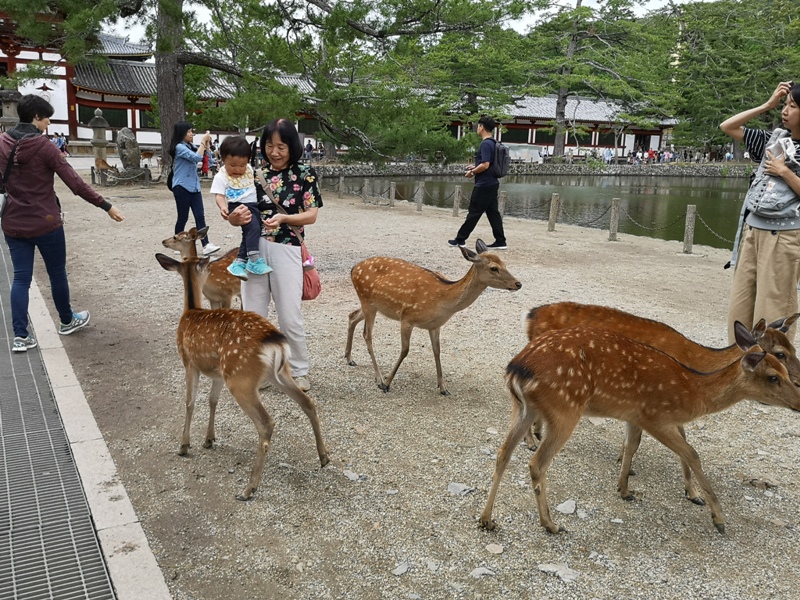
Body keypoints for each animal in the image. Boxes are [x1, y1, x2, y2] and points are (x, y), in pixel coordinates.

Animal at [155, 253, 329, 501]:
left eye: (205, 266)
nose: (212, 265)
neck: (190, 312)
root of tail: (275, 341)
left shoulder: (189, 362)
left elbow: (190, 402)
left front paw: (184, 445)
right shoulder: (218, 372)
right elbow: (212, 401)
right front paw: (209, 439)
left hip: (240, 378)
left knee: (266, 422)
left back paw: (249, 488)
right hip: (277, 373)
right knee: (308, 402)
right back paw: (324, 456)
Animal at [345, 239, 522, 395]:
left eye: (504, 264)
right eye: (493, 268)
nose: (518, 283)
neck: (443, 300)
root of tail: (353, 269)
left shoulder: (435, 325)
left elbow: (437, 351)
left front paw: (443, 388)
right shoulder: (407, 317)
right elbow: (405, 350)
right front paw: (388, 383)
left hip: (372, 305)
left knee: (352, 315)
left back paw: (349, 358)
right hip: (367, 301)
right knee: (367, 334)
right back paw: (379, 378)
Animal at [479, 322, 800, 535]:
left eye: (782, 370)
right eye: (773, 376)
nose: (798, 399)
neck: (691, 393)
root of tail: (516, 369)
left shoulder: (633, 415)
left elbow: (631, 446)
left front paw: (623, 489)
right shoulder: (655, 415)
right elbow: (692, 453)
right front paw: (717, 517)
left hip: (522, 408)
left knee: (502, 453)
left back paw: (486, 519)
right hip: (564, 410)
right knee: (536, 462)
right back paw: (550, 524)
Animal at [524, 301, 800, 504]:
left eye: (793, 348)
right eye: (779, 354)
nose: (798, 379)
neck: (695, 365)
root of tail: (531, 315)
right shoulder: (661, 402)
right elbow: (676, 443)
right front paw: (693, 493)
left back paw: (537, 432)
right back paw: (530, 440)